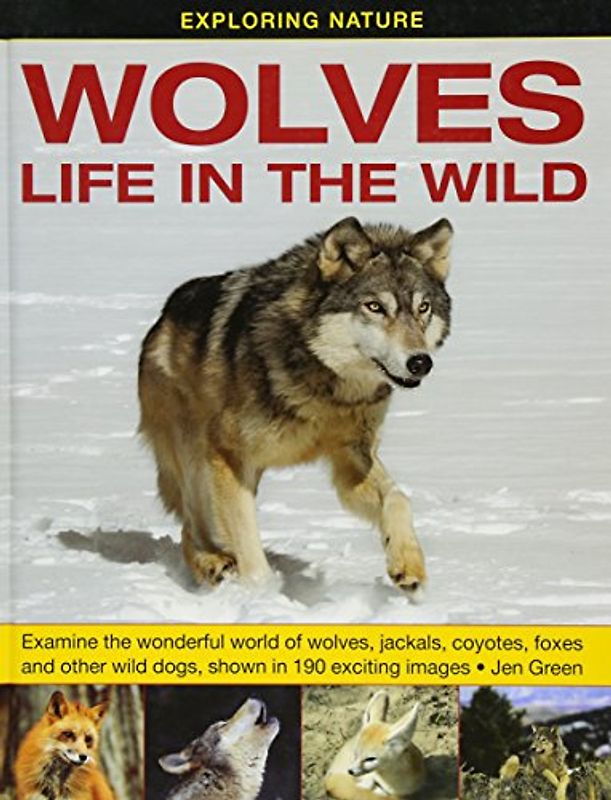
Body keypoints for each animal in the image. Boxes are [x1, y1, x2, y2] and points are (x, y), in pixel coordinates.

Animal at [138, 216, 453, 597]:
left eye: (423, 308)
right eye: (375, 307)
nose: (420, 362)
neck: (326, 387)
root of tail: (164, 316)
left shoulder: (353, 457)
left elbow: (399, 499)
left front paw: (407, 564)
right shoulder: (228, 457)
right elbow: (251, 554)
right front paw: (262, 596)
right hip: (195, 458)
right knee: (190, 525)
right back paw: (212, 565)